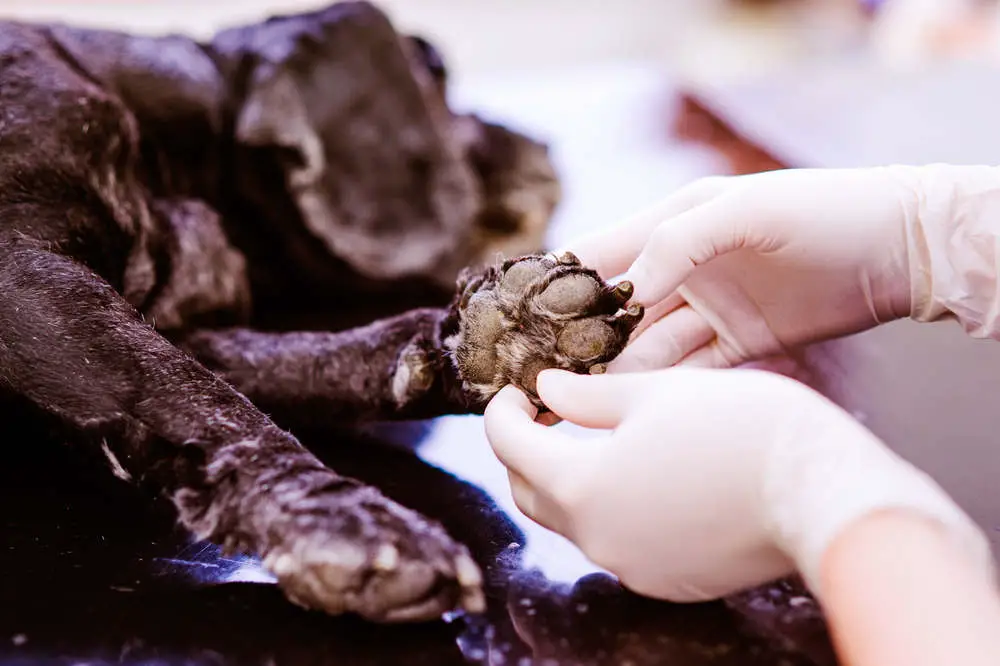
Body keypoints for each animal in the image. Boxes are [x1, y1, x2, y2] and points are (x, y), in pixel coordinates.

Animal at [0, 1, 644, 624]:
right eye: (436, 71)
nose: (541, 142)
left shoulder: (187, 330)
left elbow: (298, 367)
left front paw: (503, 341)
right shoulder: (24, 271)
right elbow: (199, 399)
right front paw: (347, 521)